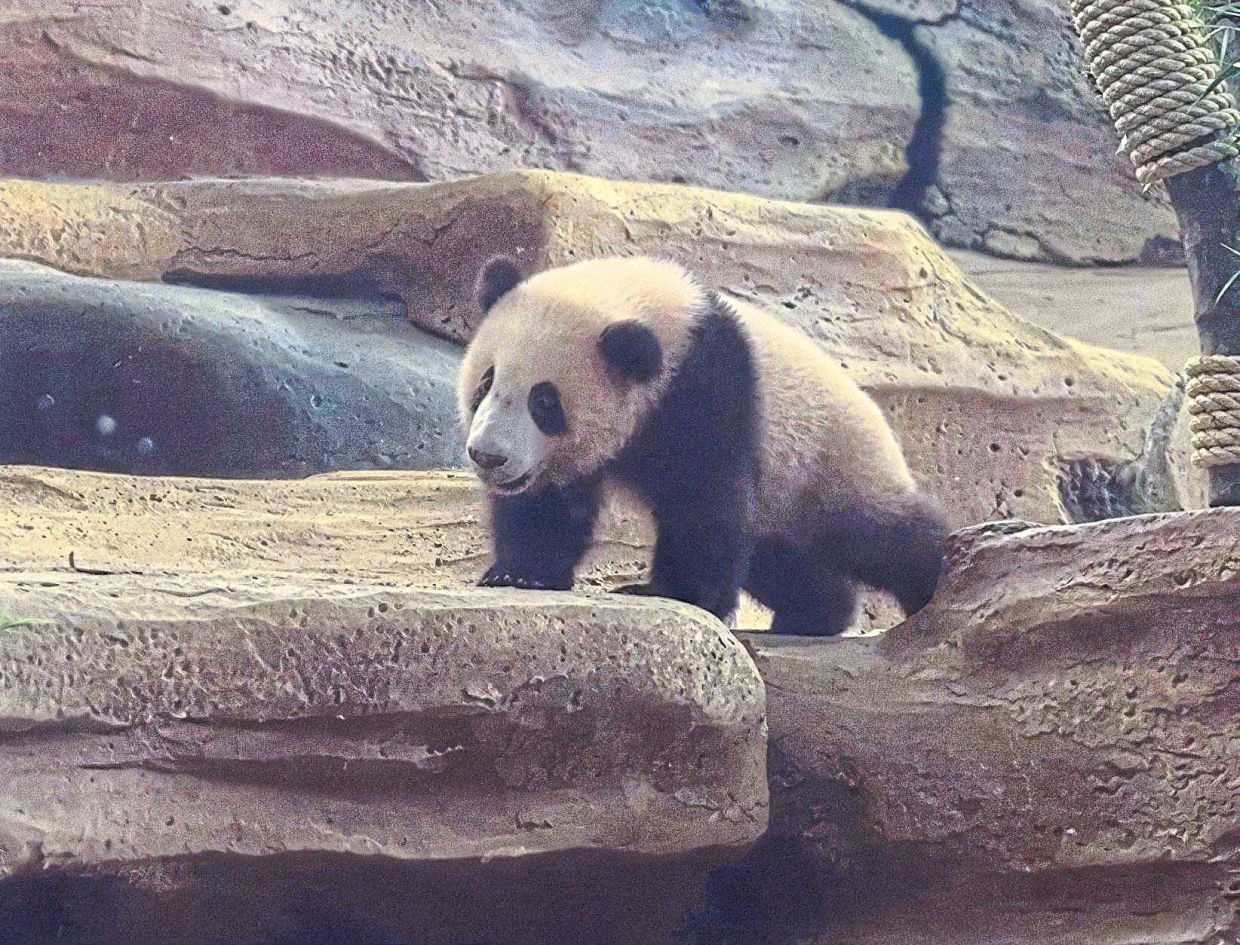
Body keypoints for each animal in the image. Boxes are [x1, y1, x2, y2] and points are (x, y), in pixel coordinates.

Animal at [457, 255, 948, 635]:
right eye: (486, 381)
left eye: (544, 402)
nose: (488, 456)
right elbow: (548, 506)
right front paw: (522, 573)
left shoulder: (708, 386)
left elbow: (701, 498)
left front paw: (674, 593)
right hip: (783, 503)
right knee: (783, 562)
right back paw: (815, 614)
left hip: (830, 467)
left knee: (884, 538)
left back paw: (938, 582)